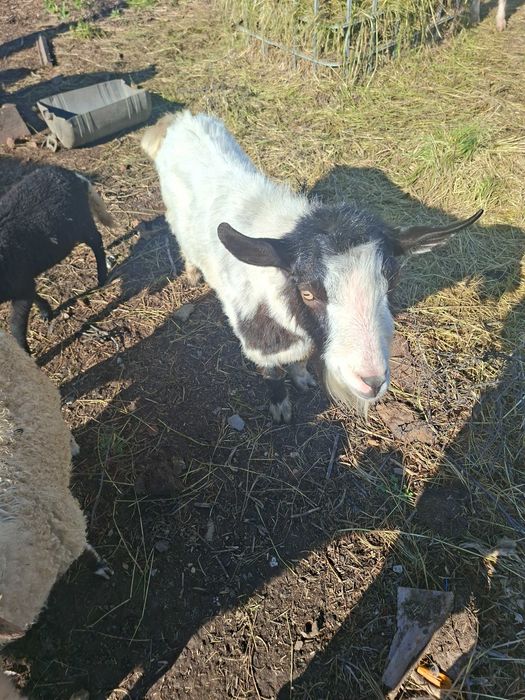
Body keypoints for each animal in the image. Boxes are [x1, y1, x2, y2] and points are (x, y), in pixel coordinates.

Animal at [0, 165, 113, 353]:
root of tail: (72, 174)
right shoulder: (23, 282)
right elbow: (34, 293)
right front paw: (47, 312)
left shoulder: (20, 284)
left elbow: (16, 325)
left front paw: (26, 353)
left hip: (82, 221)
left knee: (96, 240)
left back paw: (102, 278)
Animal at [142, 111, 482, 422]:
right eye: (307, 293)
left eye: (391, 284)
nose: (371, 382)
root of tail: (178, 119)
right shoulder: (261, 342)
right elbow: (272, 373)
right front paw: (280, 406)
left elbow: (300, 360)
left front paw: (303, 378)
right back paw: (192, 273)